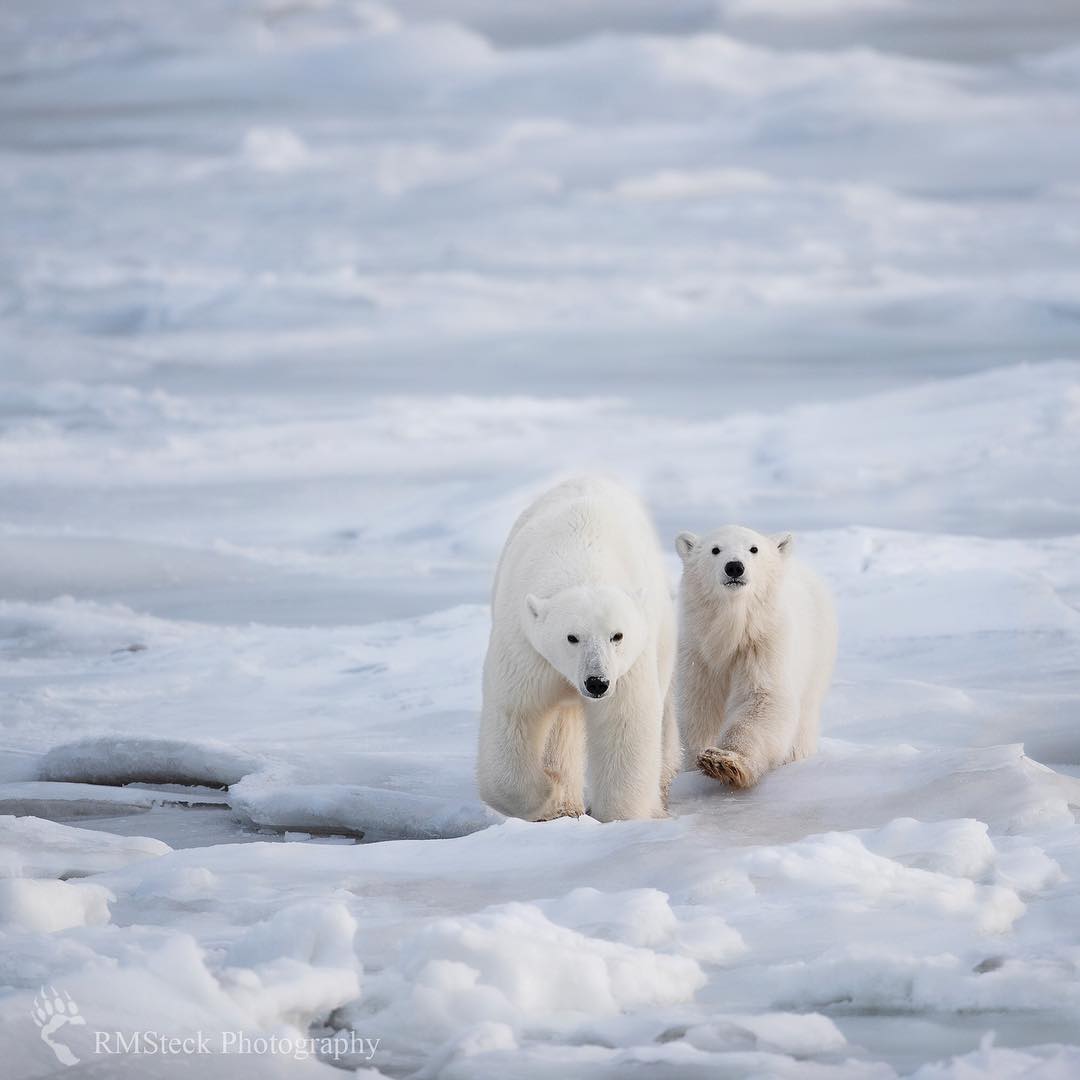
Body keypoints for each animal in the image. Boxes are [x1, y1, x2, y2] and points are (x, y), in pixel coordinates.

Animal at [479, 477, 678, 820]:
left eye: (617, 635)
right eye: (572, 637)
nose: (597, 683)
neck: (583, 561)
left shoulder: (629, 665)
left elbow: (624, 723)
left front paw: (619, 817)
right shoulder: (527, 650)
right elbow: (515, 713)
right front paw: (548, 793)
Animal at [673, 527, 833, 790]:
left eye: (753, 548)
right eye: (715, 549)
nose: (734, 567)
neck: (733, 630)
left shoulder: (763, 642)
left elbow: (762, 698)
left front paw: (723, 762)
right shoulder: (698, 651)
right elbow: (699, 705)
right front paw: (698, 761)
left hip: (817, 652)